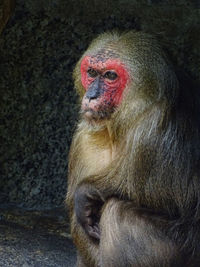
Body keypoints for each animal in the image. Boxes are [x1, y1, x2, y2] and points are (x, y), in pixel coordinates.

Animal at [66, 31, 200, 267]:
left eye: (110, 76)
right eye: (91, 72)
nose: (91, 96)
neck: (124, 121)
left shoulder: (150, 130)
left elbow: (172, 193)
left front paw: (87, 191)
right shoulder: (84, 140)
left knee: (117, 214)